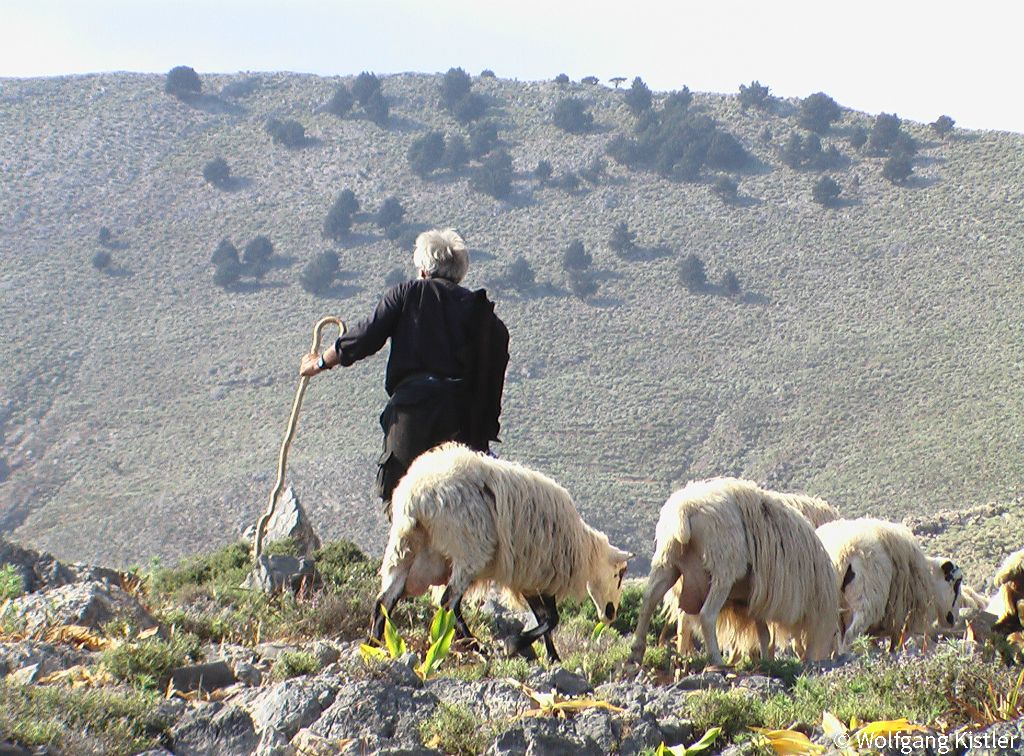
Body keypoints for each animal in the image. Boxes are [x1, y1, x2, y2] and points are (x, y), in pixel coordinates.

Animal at [374, 442, 630, 659]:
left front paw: (552, 656)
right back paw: (473, 644)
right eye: (619, 575)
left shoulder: (530, 577)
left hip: (404, 547)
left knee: (385, 601)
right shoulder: (541, 570)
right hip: (469, 549)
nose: (610, 615)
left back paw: (376, 644)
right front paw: (515, 644)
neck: (584, 551)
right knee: (448, 603)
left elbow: (545, 618)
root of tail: (418, 497)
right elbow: (551, 619)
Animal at [622, 477, 839, 663]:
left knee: (648, 601)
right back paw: (716, 660)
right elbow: (773, 636)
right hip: (722, 569)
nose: (835, 655)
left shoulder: (757, 597)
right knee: (706, 615)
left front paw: (766, 661)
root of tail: (685, 510)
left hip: (667, 562)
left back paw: (636, 652)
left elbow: (764, 633)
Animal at [811, 516, 962, 651]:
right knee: (851, 635)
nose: (953, 619)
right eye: (956, 583)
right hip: (867, 600)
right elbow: (895, 645)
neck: (930, 581)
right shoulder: (902, 620)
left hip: (833, 608)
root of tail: (842, 552)